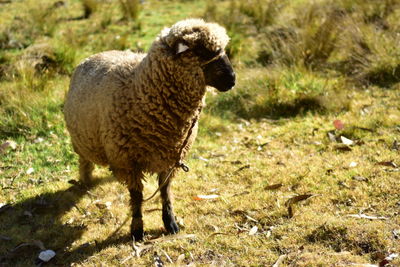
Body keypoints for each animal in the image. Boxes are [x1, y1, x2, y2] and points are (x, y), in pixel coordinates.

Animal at [64, 18, 236, 241]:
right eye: (202, 52)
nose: (232, 80)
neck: (140, 89)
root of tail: (92, 55)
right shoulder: (128, 161)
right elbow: (137, 196)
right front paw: (137, 229)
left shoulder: (170, 156)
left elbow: (165, 191)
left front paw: (170, 222)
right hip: (81, 140)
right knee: (84, 161)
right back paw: (85, 181)